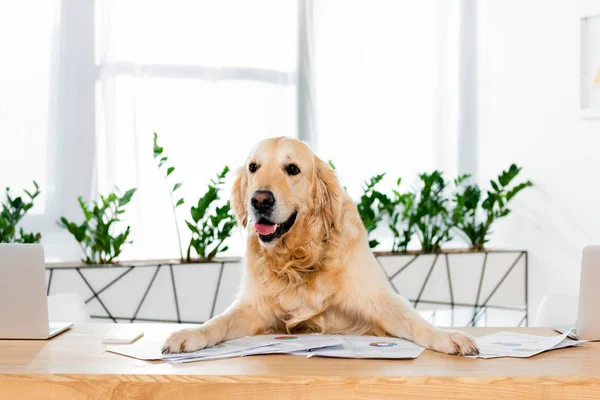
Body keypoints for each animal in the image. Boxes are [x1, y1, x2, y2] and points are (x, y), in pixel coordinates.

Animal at [162, 136, 480, 354]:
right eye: (253, 167)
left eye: (292, 169)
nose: (259, 200)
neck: (299, 256)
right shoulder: (254, 307)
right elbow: (219, 321)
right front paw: (188, 335)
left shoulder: (377, 300)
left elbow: (416, 321)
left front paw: (448, 337)